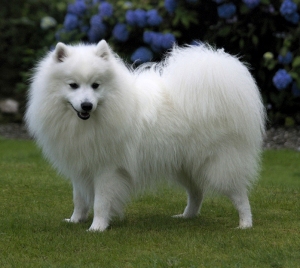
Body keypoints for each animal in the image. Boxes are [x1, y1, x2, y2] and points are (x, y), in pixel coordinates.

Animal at [25, 40, 264, 231]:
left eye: (96, 85)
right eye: (73, 85)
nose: (86, 105)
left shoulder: (107, 169)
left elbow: (100, 202)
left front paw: (97, 227)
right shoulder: (81, 166)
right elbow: (79, 199)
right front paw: (75, 220)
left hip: (218, 164)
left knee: (239, 194)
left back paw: (245, 224)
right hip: (184, 165)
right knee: (197, 192)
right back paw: (186, 216)